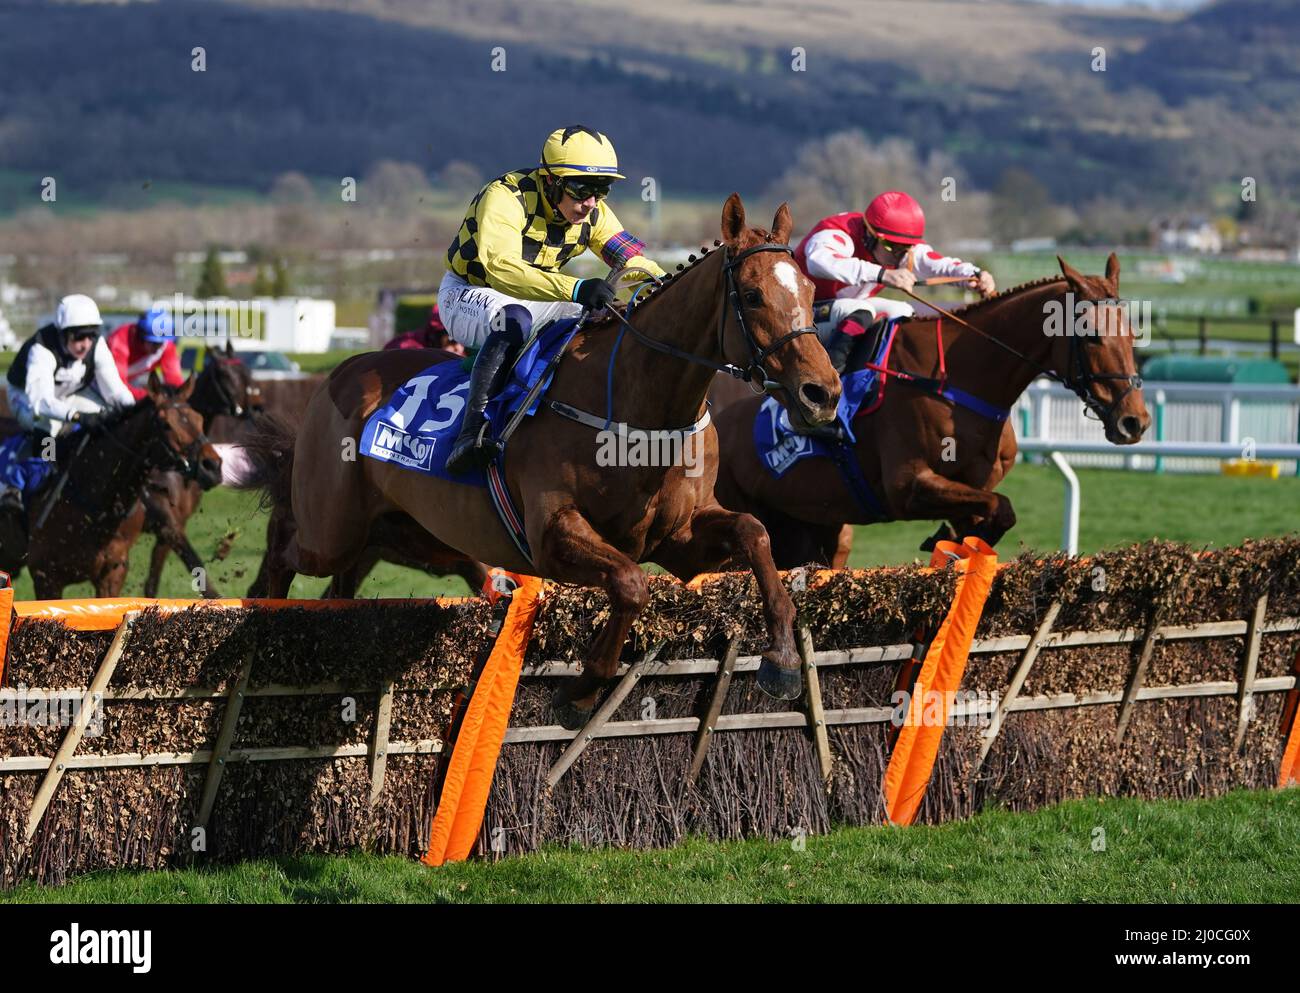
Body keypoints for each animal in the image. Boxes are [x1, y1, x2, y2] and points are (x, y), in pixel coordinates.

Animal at [244, 196, 842, 722]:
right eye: (753, 295)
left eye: (812, 290)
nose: (822, 393)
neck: (636, 406)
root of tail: (338, 375)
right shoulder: (552, 537)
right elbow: (631, 584)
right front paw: (581, 689)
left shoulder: (681, 540)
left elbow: (753, 532)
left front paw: (782, 658)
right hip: (331, 530)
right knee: (282, 551)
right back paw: (264, 619)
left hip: (398, 534)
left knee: (337, 583)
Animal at [717, 256, 1154, 566]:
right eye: (1092, 336)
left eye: (1133, 332)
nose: (1134, 421)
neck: (958, 379)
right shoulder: (909, 486)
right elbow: (1001, 508)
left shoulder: (973, 486)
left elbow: (995, 515)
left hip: (812, 524)